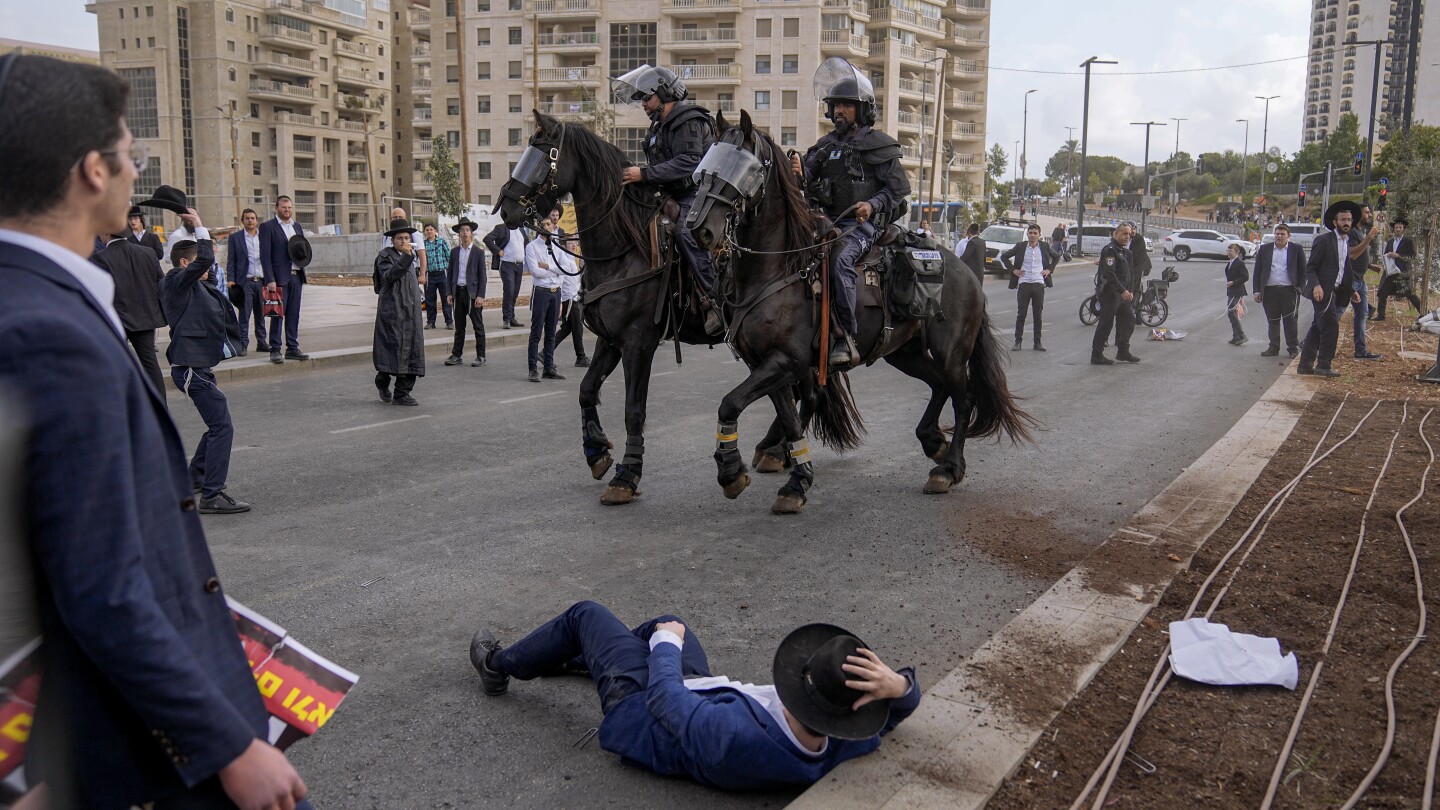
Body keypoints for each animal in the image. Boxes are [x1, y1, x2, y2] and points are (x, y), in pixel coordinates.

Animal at [492, 111, 789, 504]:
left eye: (542, 157)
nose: (507, 209)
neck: (622, 249)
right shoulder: (609, 341)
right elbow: (587, 390)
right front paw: (597, 451)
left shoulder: (638, 343)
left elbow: (634, 410)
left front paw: (626, 475)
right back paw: (776, 449)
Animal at [688, 110, 1036, 510]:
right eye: (707, 164)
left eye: (745, 169)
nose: (699, 228)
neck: (779, 267)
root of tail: (967, 272)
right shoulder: (766, 363)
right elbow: (787, 416)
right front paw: (796, 480)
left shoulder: (784, 361)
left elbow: (731, 403)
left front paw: (732, 471)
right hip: (904, 352)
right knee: (938, 386)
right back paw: (932, 439)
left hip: (951, 352)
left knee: (962, 398)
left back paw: (948, 469)